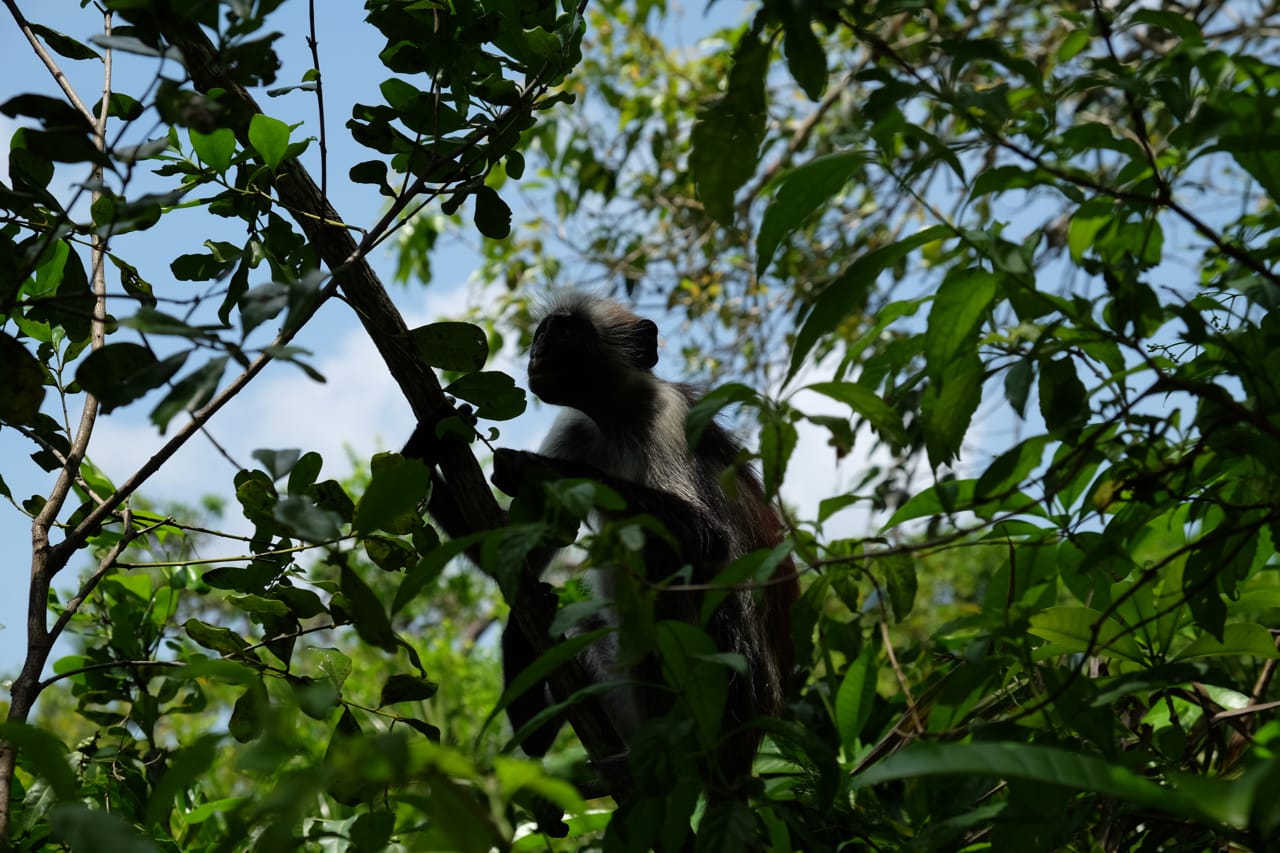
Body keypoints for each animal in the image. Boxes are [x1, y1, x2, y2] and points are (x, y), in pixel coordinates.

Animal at [404, 294, 793, 783]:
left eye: (567, 333)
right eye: (543, 331)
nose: (539, 347)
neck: (615, 420)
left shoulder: (668, 415)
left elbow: (711, 540)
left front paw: (536, 469)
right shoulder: (577, 429)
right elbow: (509, 556)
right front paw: (423, 447)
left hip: (725, 693)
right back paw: (534, 709)